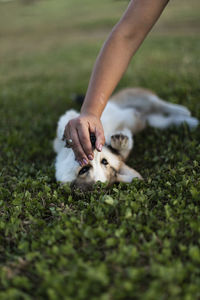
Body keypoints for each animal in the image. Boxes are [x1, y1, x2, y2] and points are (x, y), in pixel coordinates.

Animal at [53, 87, 198, 190]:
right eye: (84, 170)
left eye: (104, 162)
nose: (93, 141)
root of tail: (146, 114)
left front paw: (120, 142)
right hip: (156, 122)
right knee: (169, 119)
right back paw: (190, 121)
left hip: (137, 98)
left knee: (158, 103)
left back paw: (182, 110)